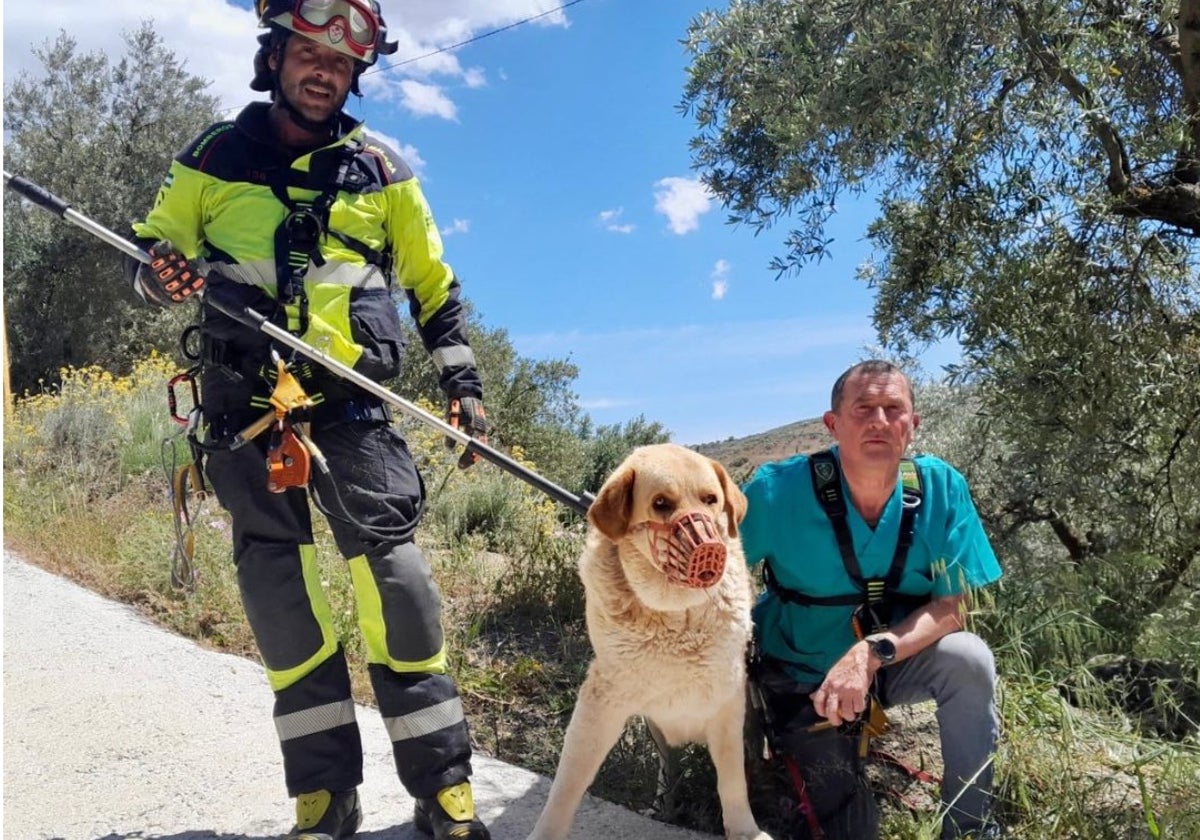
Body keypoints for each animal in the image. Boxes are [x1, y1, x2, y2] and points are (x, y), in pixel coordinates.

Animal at [528, 444, 772, 835]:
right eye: (661, 503)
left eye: (711, 500)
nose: (711, 548)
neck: (678, 614)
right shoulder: (600, 703)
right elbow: (567, 782)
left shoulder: (727, 705)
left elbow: (732, 782)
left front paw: (745, 831)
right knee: (667, 771)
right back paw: (663, 807)